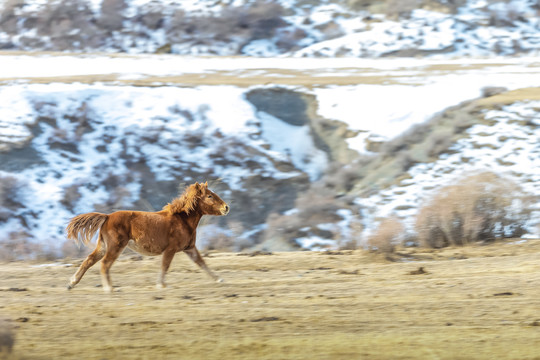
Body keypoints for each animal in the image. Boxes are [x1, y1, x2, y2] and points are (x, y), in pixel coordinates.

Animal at [66, 183, 229, 292]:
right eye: (209, 195)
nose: (226, 207)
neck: (182, 220)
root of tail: (107, 217)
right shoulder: (171, 249)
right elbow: (165, 265)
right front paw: (161, 285)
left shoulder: (189, 248)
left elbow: (201, 263)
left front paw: (219, 279)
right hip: (115, 246)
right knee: (105, 263)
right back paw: (110, 288)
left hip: (103, 245)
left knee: (89, 260)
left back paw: (71, 283)